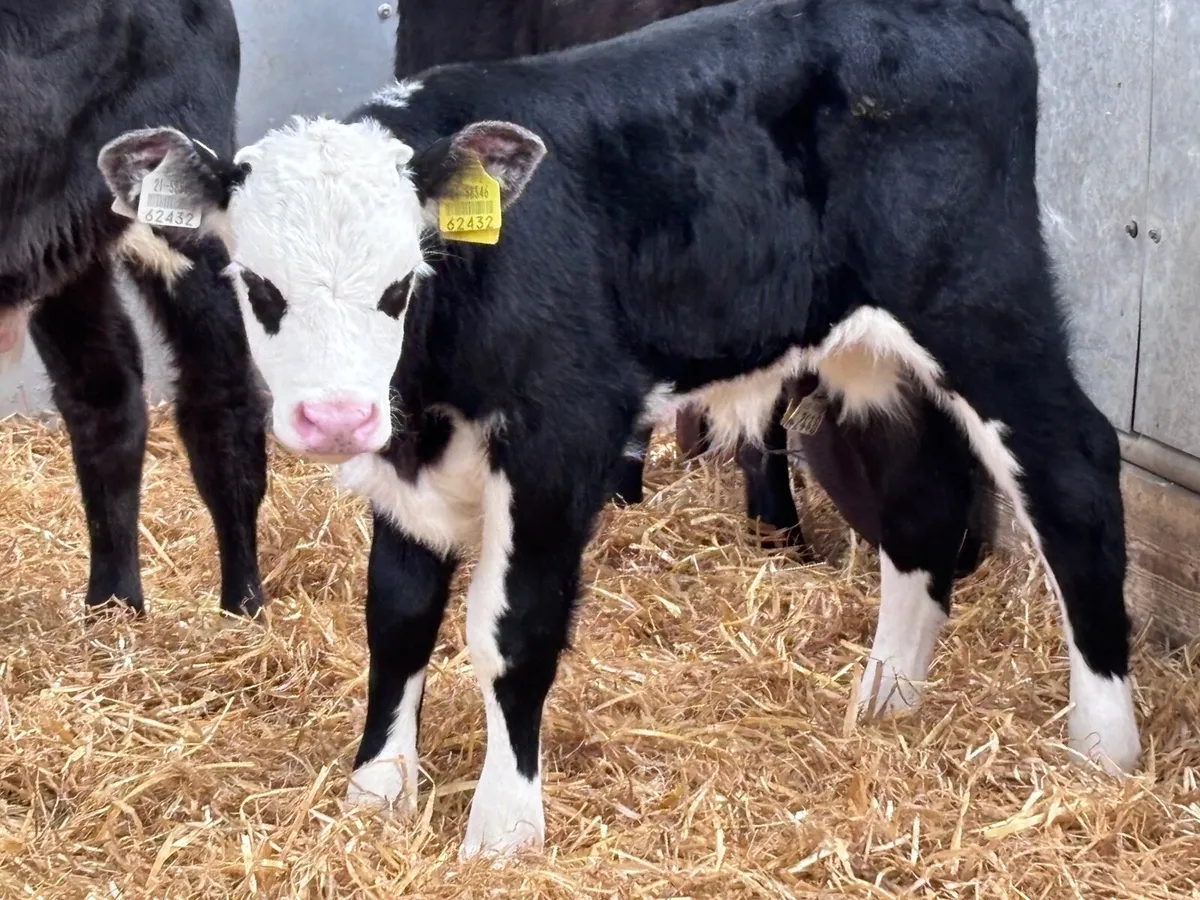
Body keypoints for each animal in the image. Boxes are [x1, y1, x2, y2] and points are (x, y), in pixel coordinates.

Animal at [0, 0, 266, 617]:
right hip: (62, 247)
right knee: (106, 395)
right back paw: (113, 605)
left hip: (182, 197)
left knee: (221, 392)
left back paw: (242, 606)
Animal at [99, 0, 1141, 857]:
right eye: (258, 285)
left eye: (402, 283)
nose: (336, 415)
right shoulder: (406, 465)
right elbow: (395, 620)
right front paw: (376, 795)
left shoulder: (562, 438)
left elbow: (509, 632)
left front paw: (503, 830)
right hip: (866, 352)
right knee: (919, 503)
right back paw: (885, 702)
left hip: (981, 306)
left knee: (1074, 469)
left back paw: (1105, 744)